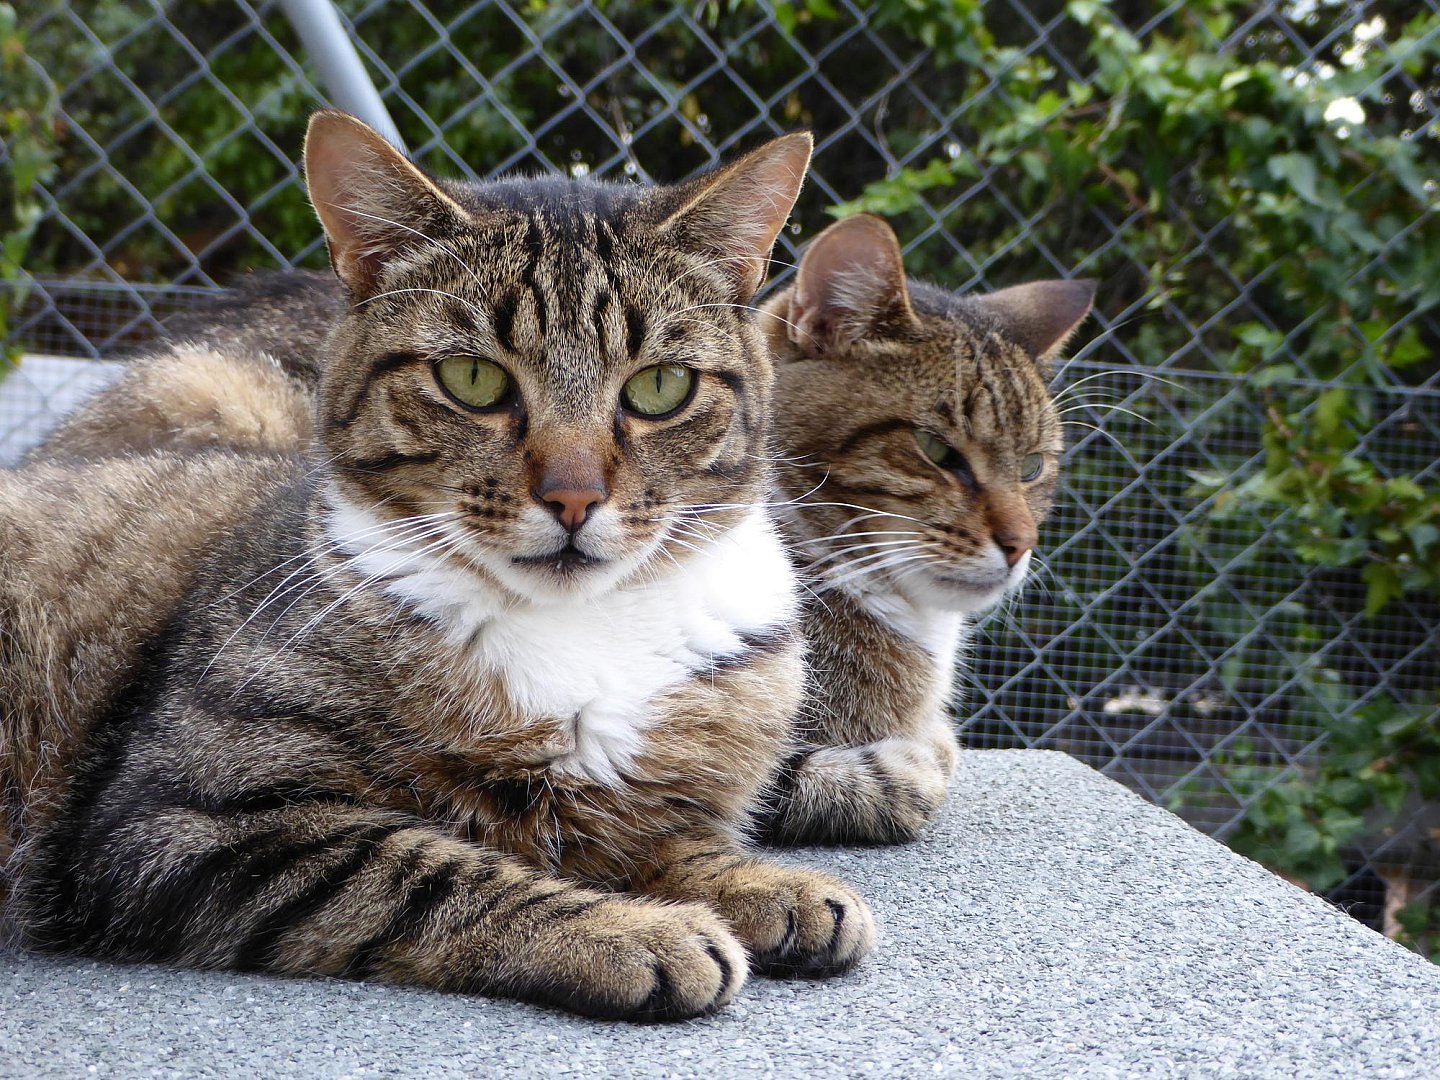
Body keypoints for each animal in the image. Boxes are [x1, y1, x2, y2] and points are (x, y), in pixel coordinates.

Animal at [2, 114, 875, 1019]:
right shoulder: (175, 820)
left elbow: (670, 837)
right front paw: (635, 932)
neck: (581, 634)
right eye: (473, 378)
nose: (573, 497)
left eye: (660, 386)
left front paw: (764, 883)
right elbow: (433, 870)